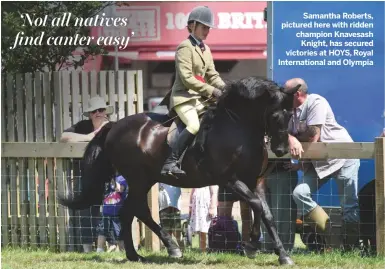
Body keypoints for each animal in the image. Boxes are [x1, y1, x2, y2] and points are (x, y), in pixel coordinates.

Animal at [59, 76, 300, 264]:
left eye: (291, 115)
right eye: (275, 115)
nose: (281, 150)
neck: (239, 127)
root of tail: (113, 126)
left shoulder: (255, 180)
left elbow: (265, 211)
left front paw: (279, 254)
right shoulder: (230, 180)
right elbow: (257, 205)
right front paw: (254, 245)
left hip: (144, 179)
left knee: (131, 211)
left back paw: (142, 254)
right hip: (138, 179)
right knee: (135, 211)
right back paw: (167, 249)